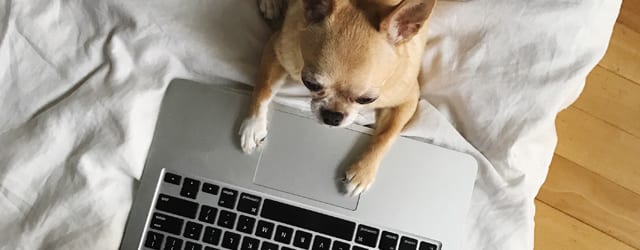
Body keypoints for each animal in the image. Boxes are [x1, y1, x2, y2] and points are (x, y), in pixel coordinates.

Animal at [239, 0, 436, 195]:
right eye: (310, 84)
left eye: (367, 100)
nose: (332, 116)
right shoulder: (278, 51)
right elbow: (263, 87)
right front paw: (253, 125)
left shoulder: (407, 100)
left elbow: (386, 135)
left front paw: (363, 172)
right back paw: (271, 4)